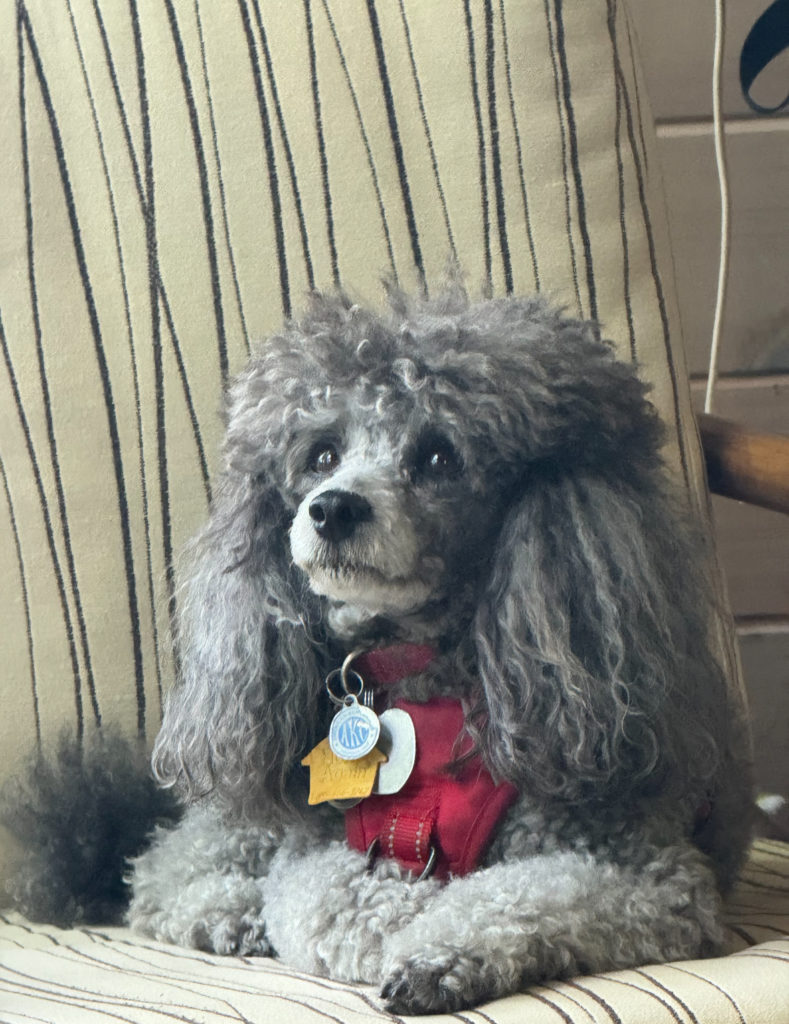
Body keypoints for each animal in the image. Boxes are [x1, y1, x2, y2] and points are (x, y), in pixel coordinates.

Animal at [4, 290, 753, 1015]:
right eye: (321, 455)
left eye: (439, 456)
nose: (332, 508)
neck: (423, 678)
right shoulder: (320, 849)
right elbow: (338, 898)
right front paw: (405, 926)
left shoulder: (649, 868)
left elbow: (526, 893)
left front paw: (442, 953)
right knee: (163, 869)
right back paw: (227, 914)